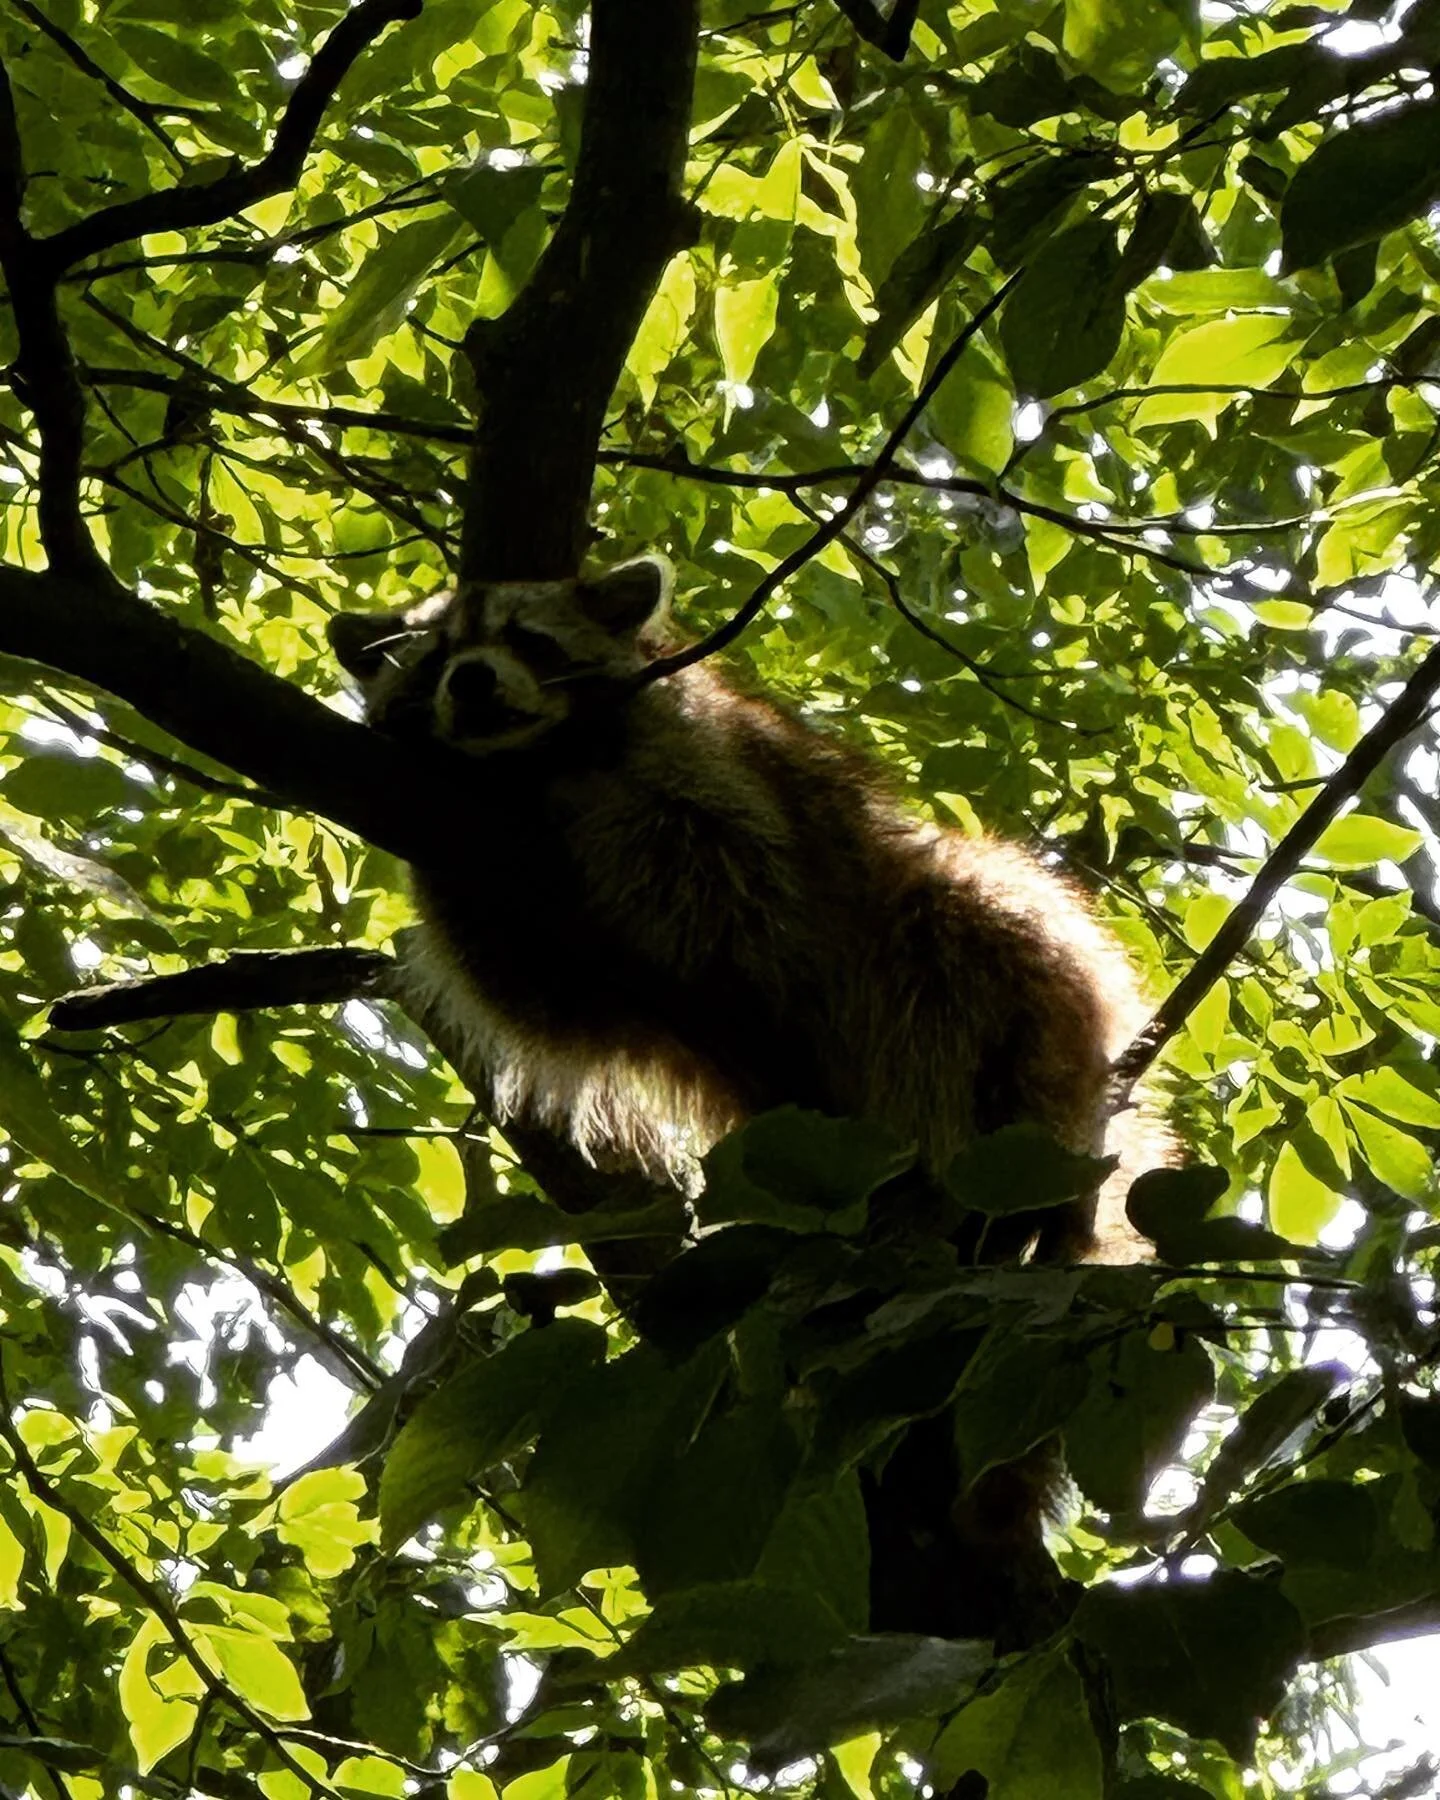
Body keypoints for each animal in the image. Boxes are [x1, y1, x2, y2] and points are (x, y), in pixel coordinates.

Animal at [329, 554, 1156, 1261]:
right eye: (433, 659)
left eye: (527, 640)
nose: (470, 679)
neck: (528, 759)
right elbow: (532, 983)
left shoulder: (707, 758)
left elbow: (711, 859)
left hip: (1000, 990)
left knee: (962, 938)